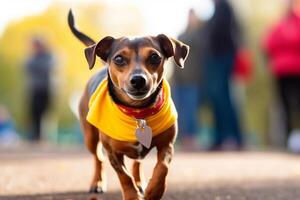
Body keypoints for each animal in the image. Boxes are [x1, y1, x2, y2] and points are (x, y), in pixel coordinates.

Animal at [69, 10, 189, 200]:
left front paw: (153, 191)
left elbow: (162, 168)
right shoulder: (112, 152)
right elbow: (124, 176)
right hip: (90, 137)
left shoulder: (167, 145)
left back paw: (140, 183)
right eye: (119, 58)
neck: (138, 113)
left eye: (155, 57)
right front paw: (132, 195)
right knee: (98, 159)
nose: (138, 80)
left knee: (137, 163)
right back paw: (97, 183)